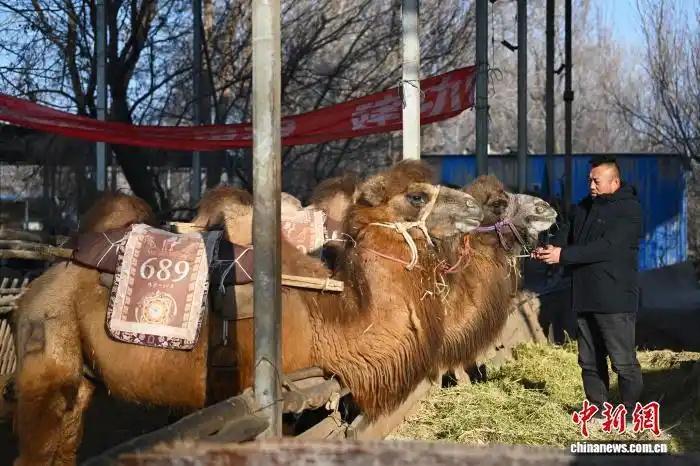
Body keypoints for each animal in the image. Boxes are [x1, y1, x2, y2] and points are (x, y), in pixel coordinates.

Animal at [10, 161, 483, 466]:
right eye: (417, 195)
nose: (477, 208)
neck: (327, 313)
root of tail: (38, 284)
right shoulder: (270, 401)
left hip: (80, 380)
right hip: (46, 361)